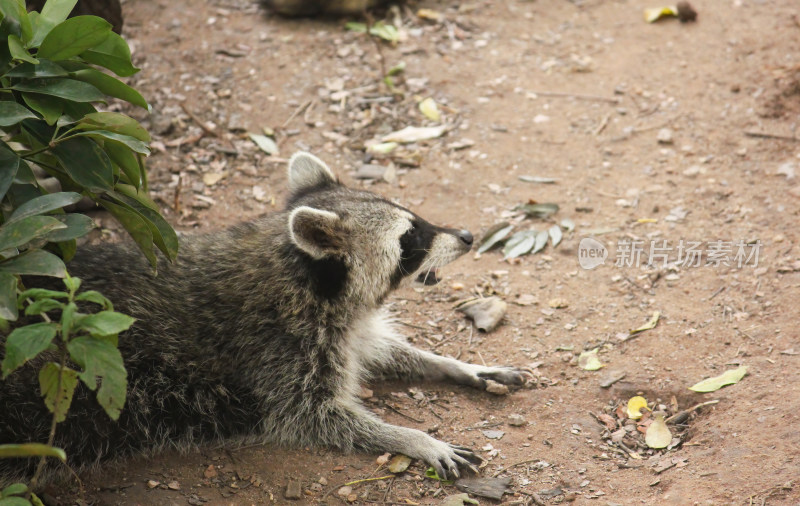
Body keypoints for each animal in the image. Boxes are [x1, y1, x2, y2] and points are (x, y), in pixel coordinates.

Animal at [1, 153, 532, 482]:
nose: (467, 236)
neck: (301, 272)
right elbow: (315, 416)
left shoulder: (340, 328)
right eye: (411, 237)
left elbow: (379, 348)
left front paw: (457, 365)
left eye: (416, 218)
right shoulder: (280, 347)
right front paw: (414, 437)